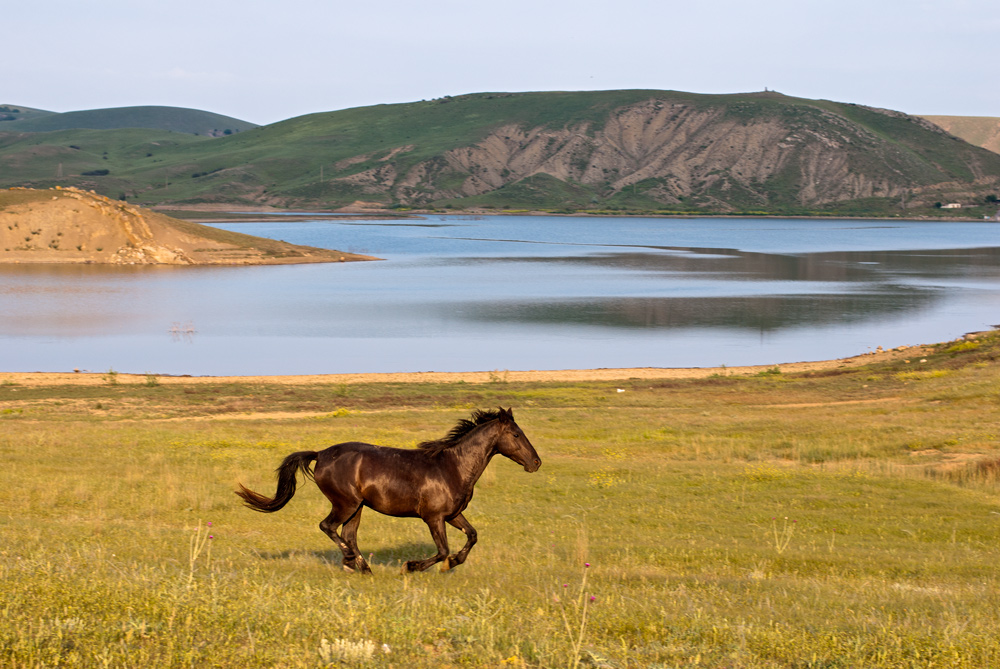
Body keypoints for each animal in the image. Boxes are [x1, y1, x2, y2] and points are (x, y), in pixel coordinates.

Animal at [235, 408, 540, 576]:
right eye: (516, 434)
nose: (536, 463)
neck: (452, 467)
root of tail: (320, 454)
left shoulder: (453, 515)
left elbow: (472, 537)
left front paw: (453, 563)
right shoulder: (434, 518)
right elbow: (441, 550)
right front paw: (411, 567)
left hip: (357, 507)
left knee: (348, 534)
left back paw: (363, 568)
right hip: (345, 503)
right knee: (328, 527)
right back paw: (350, 561)